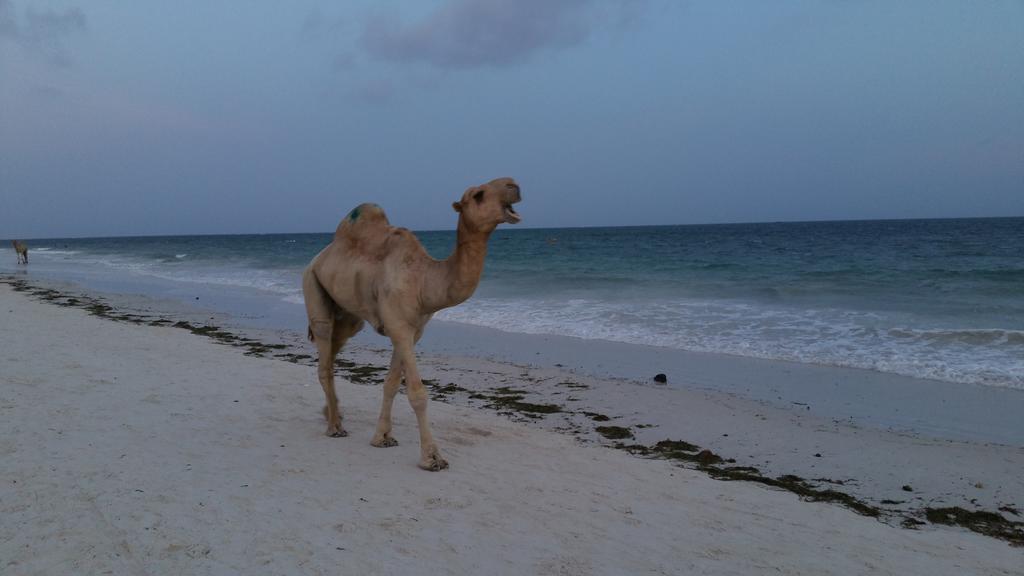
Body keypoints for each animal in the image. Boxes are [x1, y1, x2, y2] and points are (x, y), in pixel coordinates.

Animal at [299, 177, 520, 469]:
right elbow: (417, 392)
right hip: (312, 283)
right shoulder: (399, 327)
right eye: (479, 195)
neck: (423, 279)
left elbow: (392, 384)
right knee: (324, 350)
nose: (513, 185)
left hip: (348, 315)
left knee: (336, 346)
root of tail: (318, 257)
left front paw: (382, 437)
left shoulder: (412, 331)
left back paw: (331, 412)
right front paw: (432, 457)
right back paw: (335, 426)